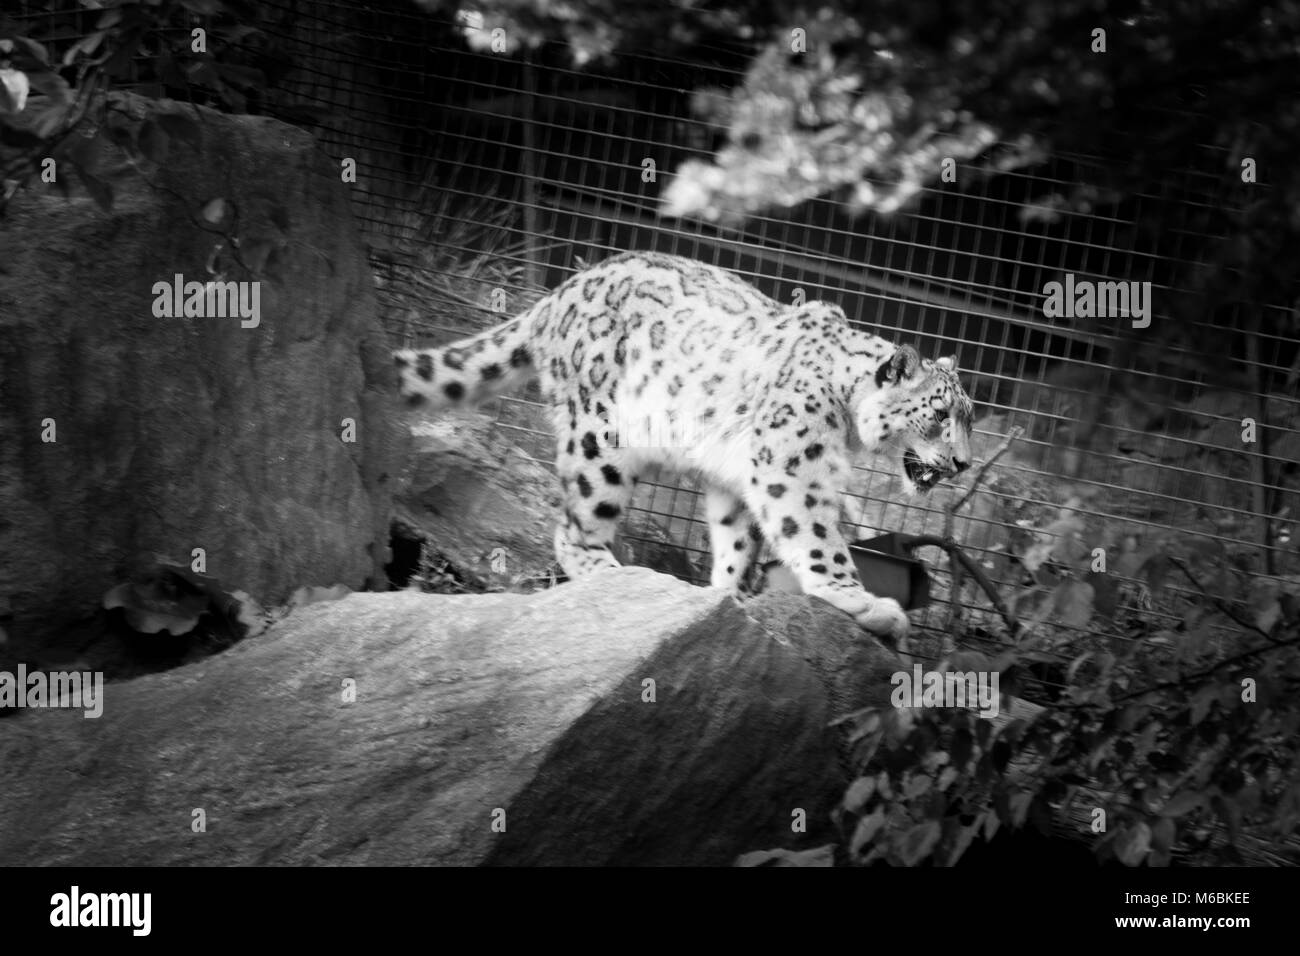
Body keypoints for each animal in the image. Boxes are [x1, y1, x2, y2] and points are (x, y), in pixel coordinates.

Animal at [394, 251, 974, 643]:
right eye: (939, 414)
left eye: (968, 417)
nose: (965, 462)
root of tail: (557, 295)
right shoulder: (791, 468)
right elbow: (816, 538)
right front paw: (862, 601)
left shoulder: (738, 479)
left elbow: (738, 542)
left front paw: (730, 599)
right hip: (600, 437)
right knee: (573, 526)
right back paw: (615, 575)